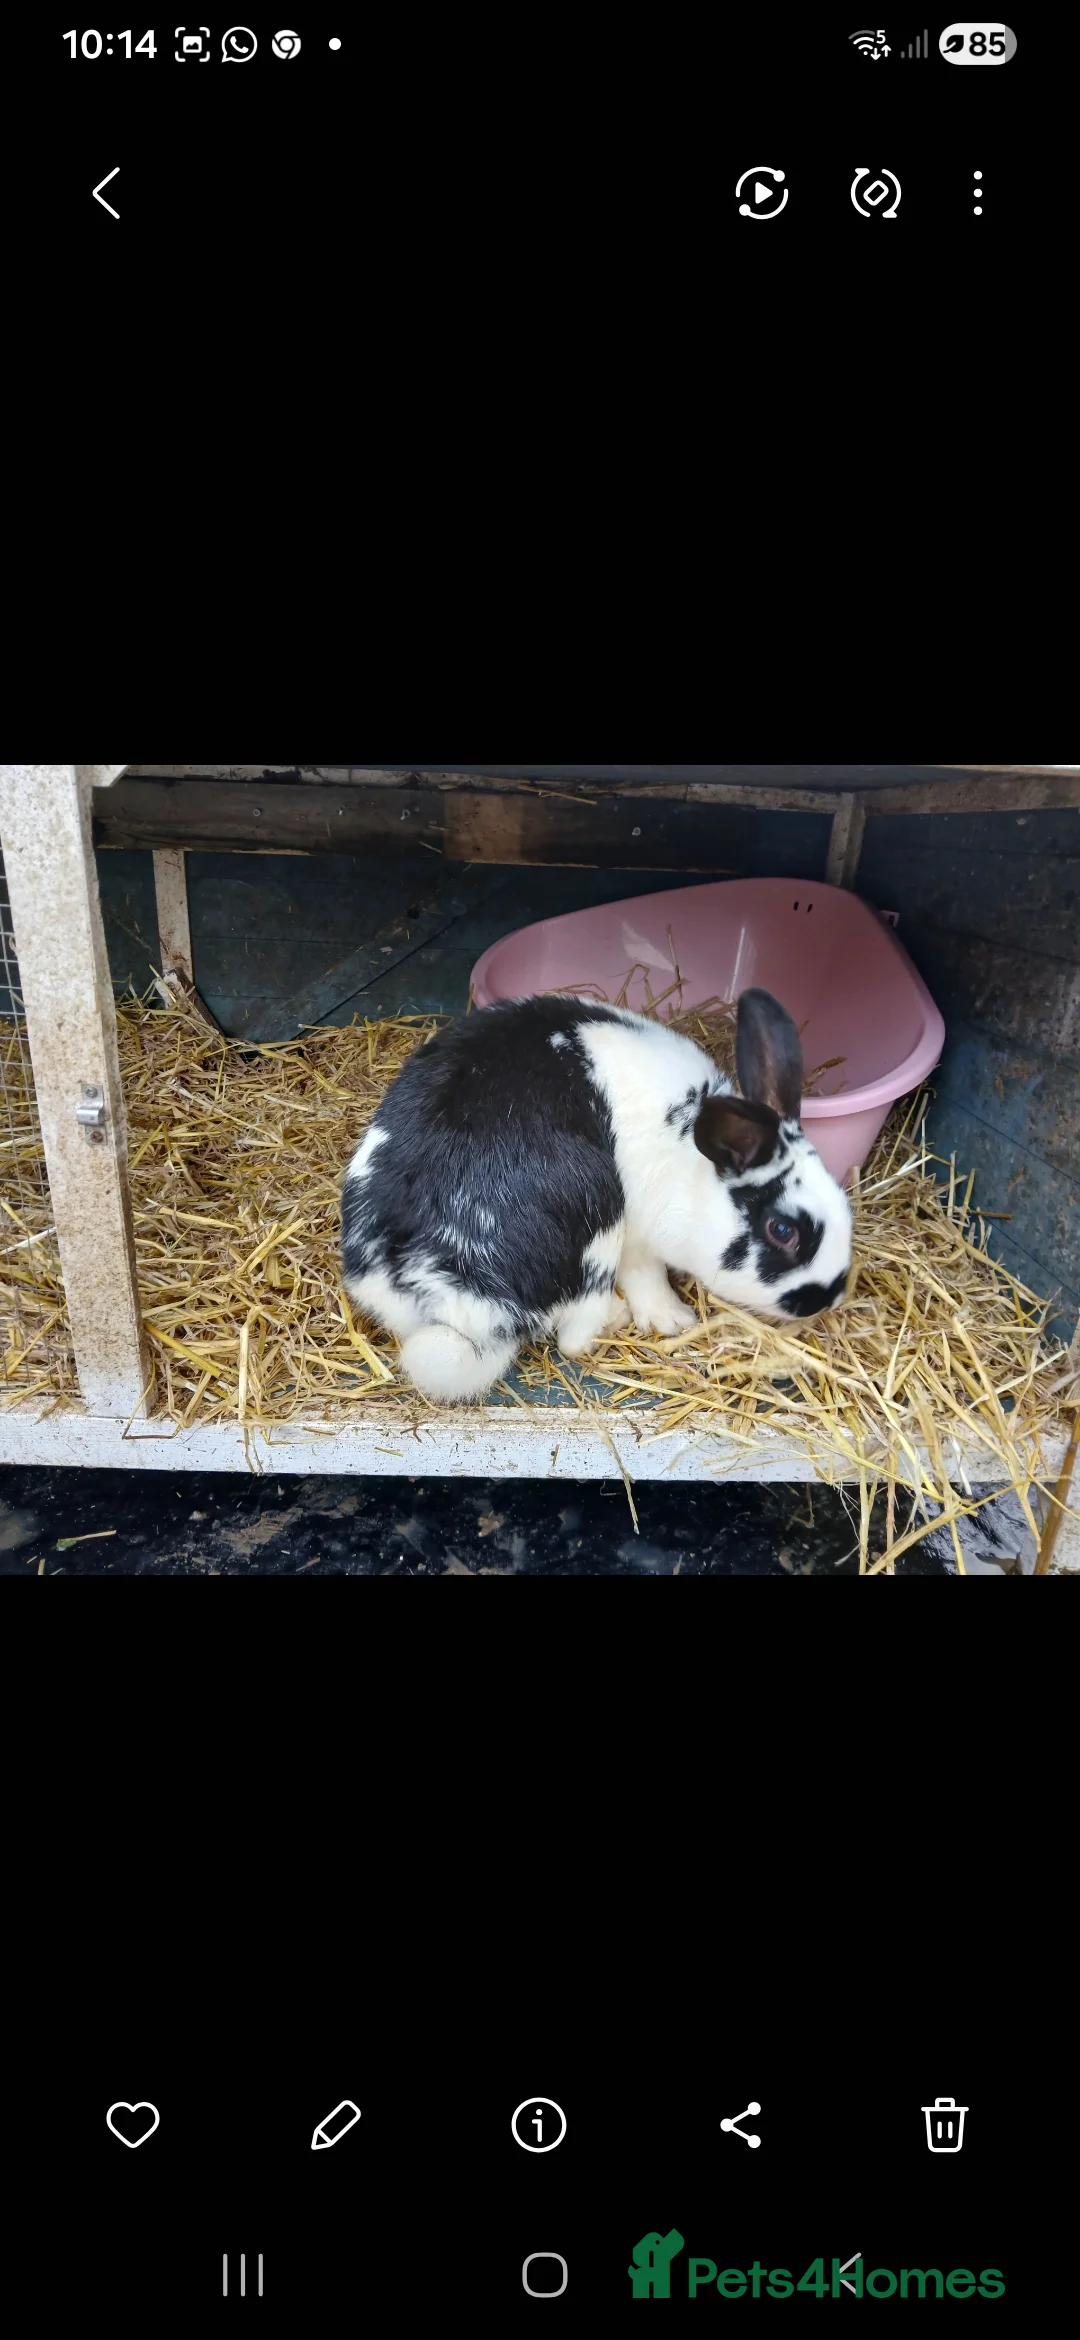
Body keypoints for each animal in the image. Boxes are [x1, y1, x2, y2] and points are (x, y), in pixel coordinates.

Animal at [341, 986, 853, 1402]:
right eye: (782, 1230)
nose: (826, 1299)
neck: (691, 1161)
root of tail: (452, 1299)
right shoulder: (639, 1238)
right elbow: (646, 1276)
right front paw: (673, 1321)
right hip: (600, 1220)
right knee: (573, 1337)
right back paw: (616, 1317)